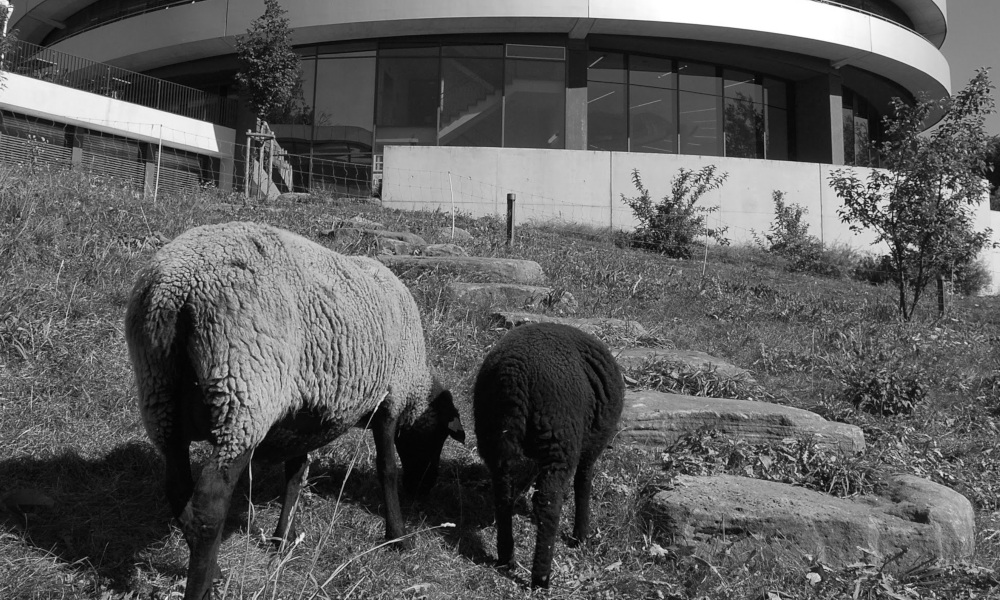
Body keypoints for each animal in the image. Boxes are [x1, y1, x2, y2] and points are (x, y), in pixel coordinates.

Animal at [125, 221, 464, 600]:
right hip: (243, 392)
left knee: (177, 491)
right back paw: (202, 586)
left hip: (160, 394)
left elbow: (295, 474)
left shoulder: (301, 418)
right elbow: (386, 468)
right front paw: (398, 537)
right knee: (209, 505)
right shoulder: (389, 399)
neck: (416, 382)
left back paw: (213, 572)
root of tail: (175, 288)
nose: (423, 488)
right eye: (438, 438)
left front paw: (282, 539)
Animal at [474, 322, 624, 588]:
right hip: (559, 438)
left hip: (496, 438)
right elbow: (583, 484)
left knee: (503, 495)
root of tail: (515, 379)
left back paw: (506, 558)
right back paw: (541, 577)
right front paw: (580, 536)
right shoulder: (591, 447)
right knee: (549, 503)